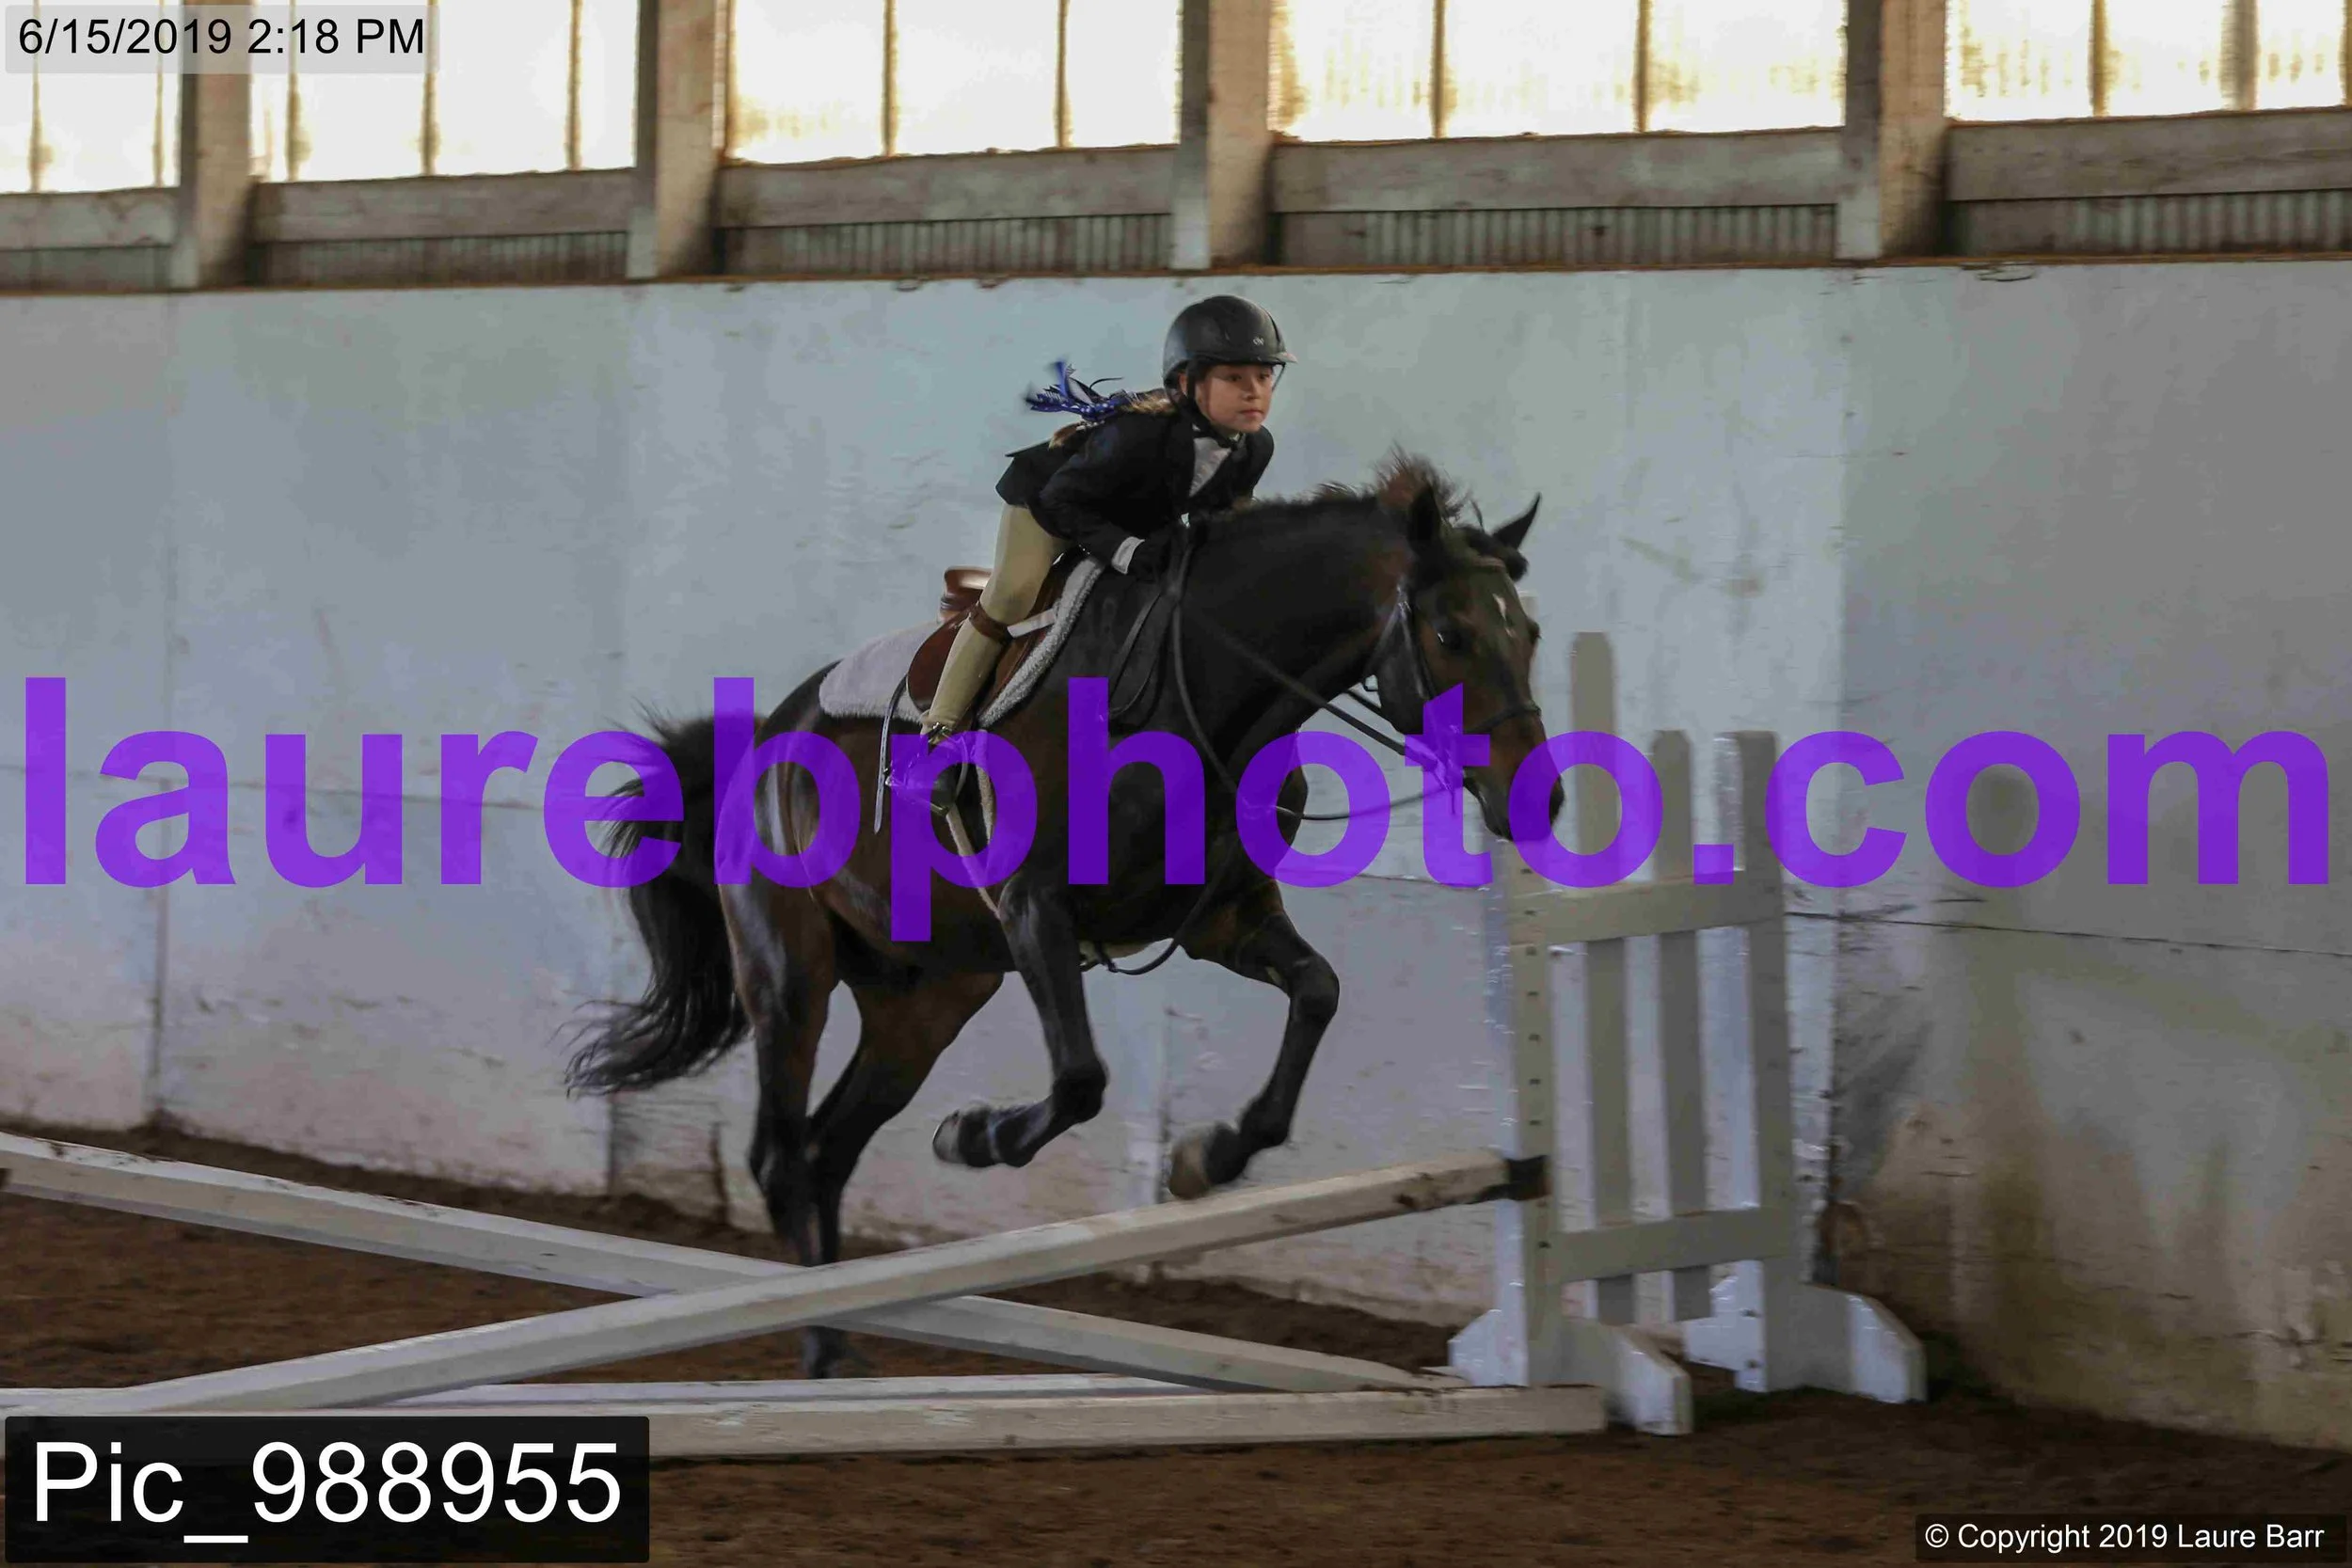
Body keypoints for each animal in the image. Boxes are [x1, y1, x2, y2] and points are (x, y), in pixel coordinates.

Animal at [563, 456, 1561, 1377]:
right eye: (1450, 632)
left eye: (1532, 631)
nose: (1536, 798)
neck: (1200, 694)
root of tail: (762, 738)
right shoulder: (1035, 909)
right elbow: (1081, 1079)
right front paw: (974, 1136)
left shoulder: (1224, 919)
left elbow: (1316, 992)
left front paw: (1210, 1156)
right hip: (790, 974)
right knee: (781, 1153)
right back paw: (823, 1343)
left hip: (927, 1000)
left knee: (827, 1148)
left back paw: (837, 1334)